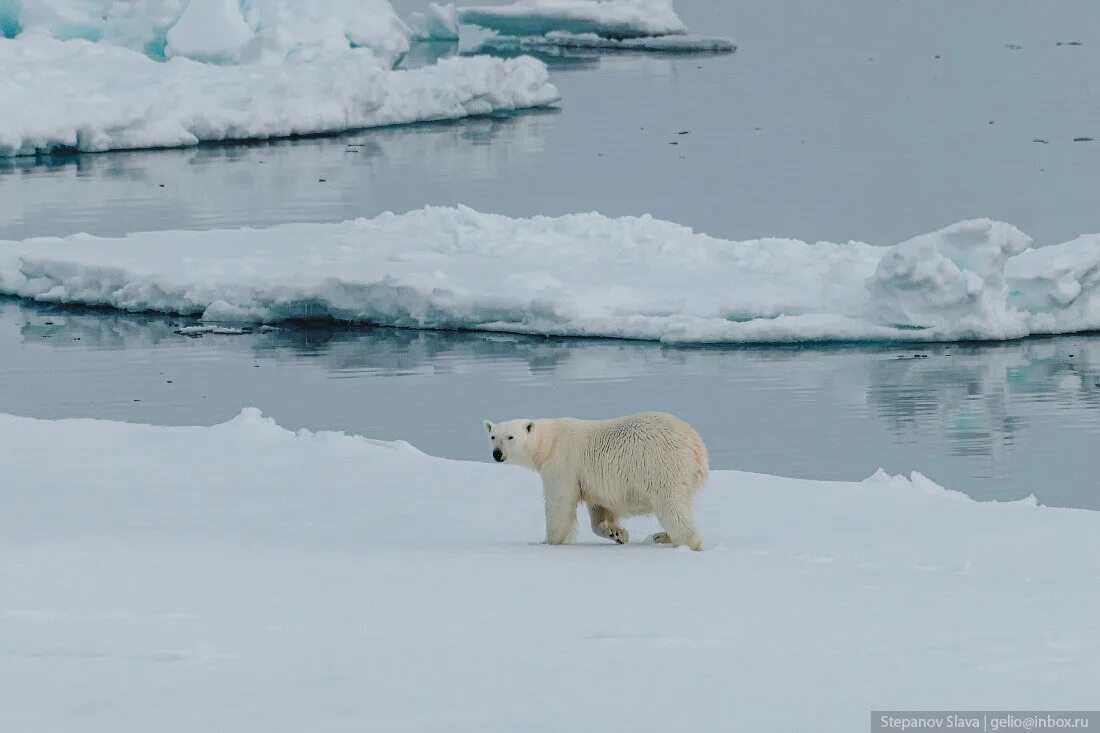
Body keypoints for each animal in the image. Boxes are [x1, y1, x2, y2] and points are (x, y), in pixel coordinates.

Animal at [484, 411, 708, 548]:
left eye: (510, 437)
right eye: (493, 436)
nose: (497, 453)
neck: (549, 442)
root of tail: (696, 443)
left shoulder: (562, 463)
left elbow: (559, 503)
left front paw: (548, 541)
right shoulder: (593, 481)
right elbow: (600, 511)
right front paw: (617, 534)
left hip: (662, 466)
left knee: (671, 505)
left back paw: (684, 541)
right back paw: (662, 536)